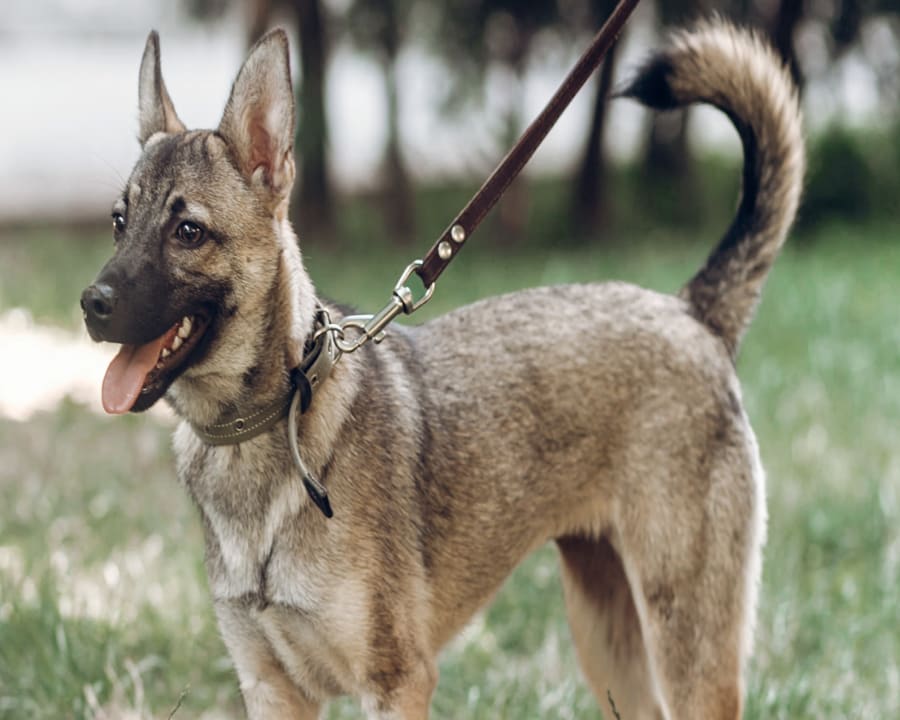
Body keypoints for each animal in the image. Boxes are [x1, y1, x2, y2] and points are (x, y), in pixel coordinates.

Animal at [82, 18, 800, 720]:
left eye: (189, 232)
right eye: (119, 222)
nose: (91, 304)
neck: (275, 422)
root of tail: (691, 311)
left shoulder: (397, 684)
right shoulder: (270, 689)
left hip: (688, 649)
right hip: (609, 646)